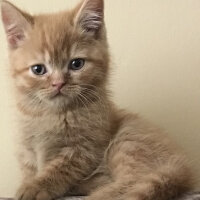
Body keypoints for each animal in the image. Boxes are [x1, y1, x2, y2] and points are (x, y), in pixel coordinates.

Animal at [0, 0, 197, 200]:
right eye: (38, 69)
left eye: (76, 64)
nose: (58, 83)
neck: (50, 113)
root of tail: (181, 166)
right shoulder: (27, 148)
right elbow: (30, 170)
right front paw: (29, 183)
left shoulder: (84, 149)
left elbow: (59, 169)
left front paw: (34, 188)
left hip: (128, 140)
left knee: (134, 181)